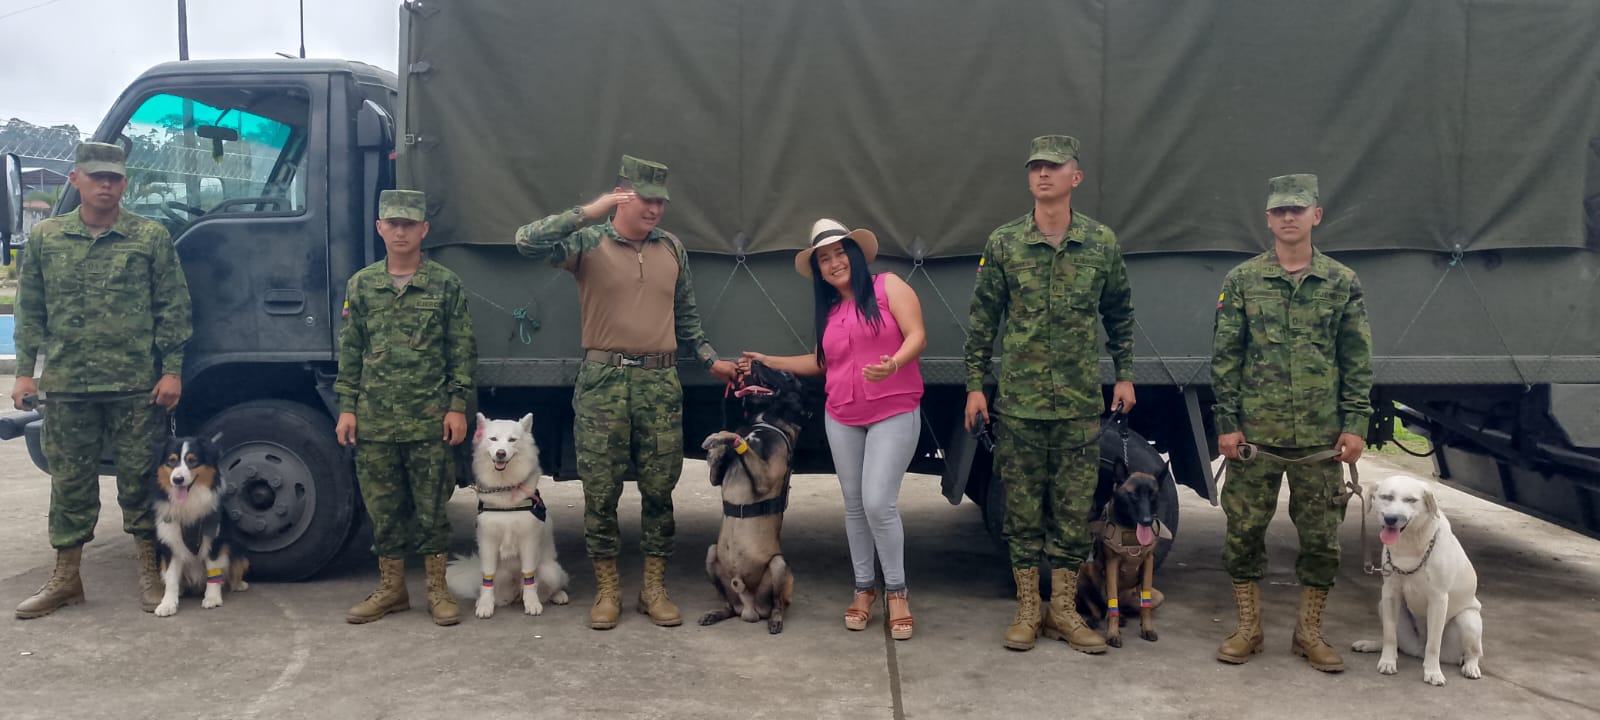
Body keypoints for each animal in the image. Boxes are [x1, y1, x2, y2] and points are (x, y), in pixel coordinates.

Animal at [151, 435, 249, 617]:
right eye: (171, 461)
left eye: (192, 461)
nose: (178, 479)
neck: (189, 502)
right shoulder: (170, 541)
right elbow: (171, 576)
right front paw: (167, 604)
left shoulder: (214, 538)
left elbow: (214, 570)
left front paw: (212, 598)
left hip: (239, 553)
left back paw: (239, 585)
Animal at [445, 413, 570, 618]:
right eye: (493, 439)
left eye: (512, 440)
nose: (501, 453)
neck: (505, 489)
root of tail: (515, 593)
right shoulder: (488, 542)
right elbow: (487, 579)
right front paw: (485, 605)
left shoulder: (529, 542)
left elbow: (529, 577)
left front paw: (532, 603)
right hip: (502, 576)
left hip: (551, 570)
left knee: (550, 587)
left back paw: (557, 595)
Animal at [698, 360, 806, 634]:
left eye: (785, 373)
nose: (753, 362)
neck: (763, 422)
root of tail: (749, 608)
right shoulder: (716, 478)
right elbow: (717, 465)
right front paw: (716, 450)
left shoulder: (765, 477)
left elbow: (733, 435)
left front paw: (719, 438)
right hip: (712, 554)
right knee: (728, 605)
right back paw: (716, 613)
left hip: (778, 565)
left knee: (778, 605)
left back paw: (775, 620)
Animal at [1075, 458, 1167, 647]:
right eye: (1134, 495)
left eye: (1152, 496)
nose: (1147, 521)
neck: (1131, 529)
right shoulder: (1112, 565)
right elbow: (1113, 605)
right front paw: (1113, 634)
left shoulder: (1148, 562)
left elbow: (1145, 606)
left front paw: (1147, 628)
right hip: (1082, 577)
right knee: (1099, 609)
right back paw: (1095, 620)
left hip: (1157, 597)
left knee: (1124, 608)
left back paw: (1125, 618)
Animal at [1352, 474, 1485, 685]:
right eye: (1386, 497)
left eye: (1411, 500)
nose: (1391, 519)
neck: (1410, 545)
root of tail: (1417, 651)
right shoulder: (1390, 593)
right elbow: (1389, 634)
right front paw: (1387, 661)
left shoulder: (1438, 600)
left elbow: (1434, 643)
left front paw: (1433, 672)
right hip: (1383, 605)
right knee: (1397, 642)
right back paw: (1371, 645)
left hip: (1468, 620)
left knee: (1472, 652)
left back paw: (1471, 667)